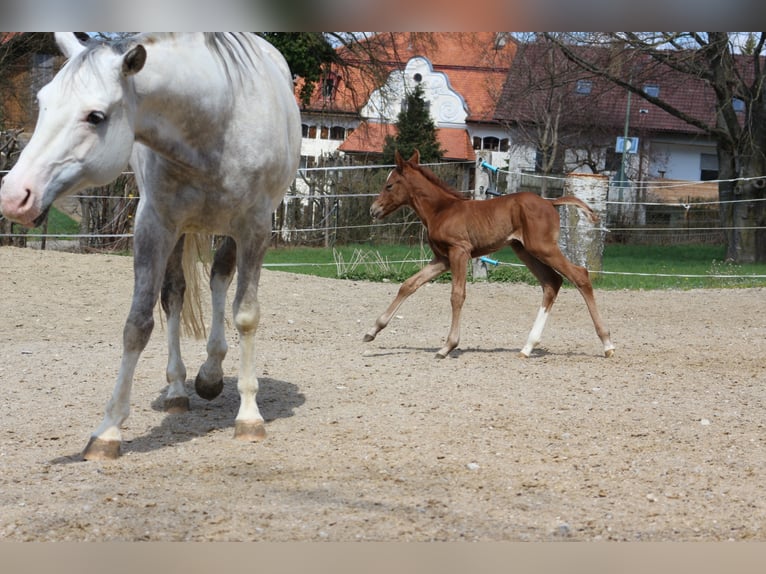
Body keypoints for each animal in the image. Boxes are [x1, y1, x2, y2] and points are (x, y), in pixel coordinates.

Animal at [0, 33, 302, 460]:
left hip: (229, 232)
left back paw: (211, 374)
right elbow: (138, 324)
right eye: (42, 102)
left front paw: (249, 416)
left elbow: (245, 315)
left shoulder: (255, 229)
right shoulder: (153, 225)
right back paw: (179, 388)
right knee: (175, 294)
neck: (217, 124)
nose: (14, 196)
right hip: (178, 231)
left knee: (220, 279)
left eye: (95, 116)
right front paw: (108, 431)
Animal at [363, 150, 615, 360]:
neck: (441, 210)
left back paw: (607, 344)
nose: (373, 210)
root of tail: (550, 202)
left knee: (579, 275)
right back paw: (527, 347)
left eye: (389, 185)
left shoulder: (459, 252)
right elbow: (409, 285)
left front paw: (447, 346)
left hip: (543, 248)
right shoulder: (442, 259)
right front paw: (372, 331)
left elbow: (457, 295)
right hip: (525, 250)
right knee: (552, 282)